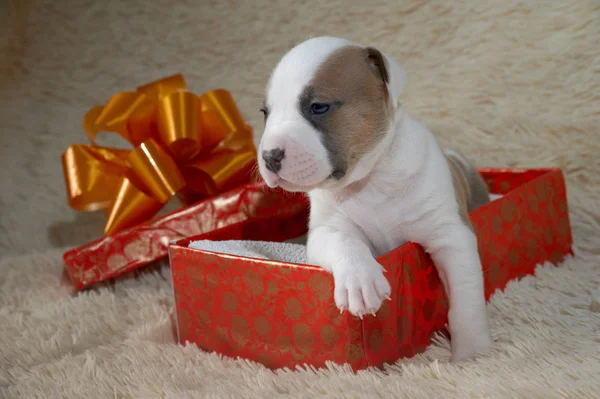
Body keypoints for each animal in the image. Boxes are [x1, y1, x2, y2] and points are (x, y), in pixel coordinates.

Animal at [258, 36, 492, 362]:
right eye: (265, 113)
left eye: (318, 107)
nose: (269, 156)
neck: (371, 180)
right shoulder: (325, 230)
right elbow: (344, 241)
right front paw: (359, 280)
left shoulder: (451, 236)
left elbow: (465, 299)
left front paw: (472, 353)